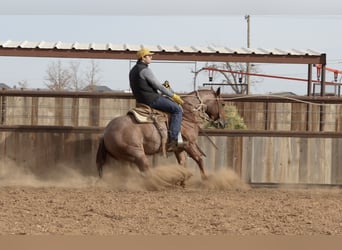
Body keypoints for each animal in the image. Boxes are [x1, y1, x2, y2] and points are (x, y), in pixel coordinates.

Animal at [95, 87, 226, 180]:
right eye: (223, 103)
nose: (223, 123)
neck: (186, 115)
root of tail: (106, 133)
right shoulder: (189, 144)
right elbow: (199, 159)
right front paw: (205, 179)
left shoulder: (179, 148)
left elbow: (183, 164)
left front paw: (183, 180)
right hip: (137, 154)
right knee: (146, 171)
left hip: (124, 159)